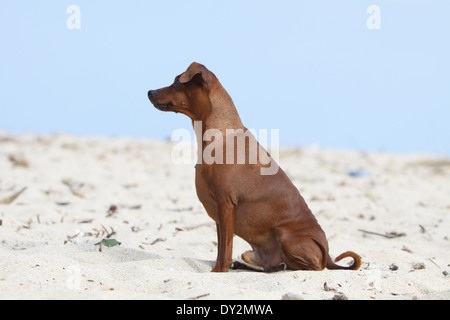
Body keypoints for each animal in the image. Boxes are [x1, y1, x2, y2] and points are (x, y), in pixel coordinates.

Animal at [149, 62, 362, 272]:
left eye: (178, 82)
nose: (149, 91)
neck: (220, 135)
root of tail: (329, 256)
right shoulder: (219, 212)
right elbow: (221, 250)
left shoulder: (226, 204)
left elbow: (224, 252)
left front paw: (220, 271)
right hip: (252, 252)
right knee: (268, 264)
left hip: (286, 236)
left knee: (311, 267)